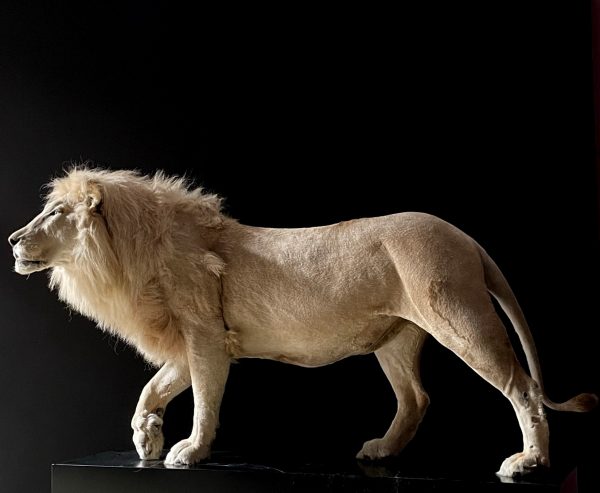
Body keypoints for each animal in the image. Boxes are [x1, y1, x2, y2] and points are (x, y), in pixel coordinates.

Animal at [7, 167, 596, 474]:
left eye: (55, 213)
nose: (12, 239)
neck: (131, 254)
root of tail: (467, 237)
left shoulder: (206, 338)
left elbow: (203, 400)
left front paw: (188, 451)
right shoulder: (196, 342)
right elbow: (151, 390)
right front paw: (146, 440)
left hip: (459, 316)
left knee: (520, 387)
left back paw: (529, 461)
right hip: (397, 337)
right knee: (416, 398)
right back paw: (382, 451)